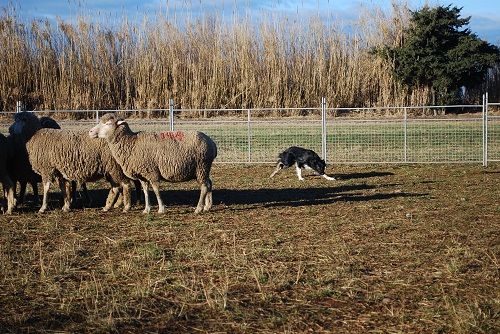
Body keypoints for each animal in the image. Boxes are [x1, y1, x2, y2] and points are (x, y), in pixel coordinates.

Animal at [89, 113, 217, 214]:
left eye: (107, 124)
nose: (90, 132)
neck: (131, 143)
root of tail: (212, 143)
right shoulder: (143, 175)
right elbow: (146, 191)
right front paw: (146, 209)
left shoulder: (152, 172)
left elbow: (156, 190)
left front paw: (161, 209)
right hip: (203, 168)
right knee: (209, 183)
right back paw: (207, 206)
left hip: (201, 166)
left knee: (204, 186)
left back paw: (198, 208)